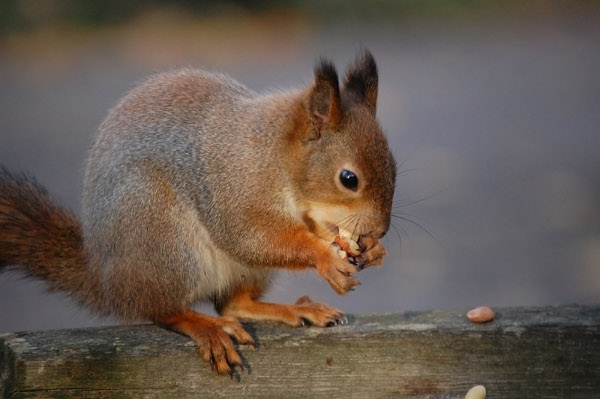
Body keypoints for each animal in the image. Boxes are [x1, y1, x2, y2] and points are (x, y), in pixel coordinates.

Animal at [1, 49, 398, 376]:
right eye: (348, 179)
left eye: (394, 167)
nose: (380, 231)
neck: (275, 155)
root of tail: (108, 282)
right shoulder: (234, 189)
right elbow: (252, 237)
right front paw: (325, 257)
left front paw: (370, 251)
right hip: (162, 235)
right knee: (163, 309)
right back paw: (206, 327)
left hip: (239, 270)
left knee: (233, 304)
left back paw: (293, 309)